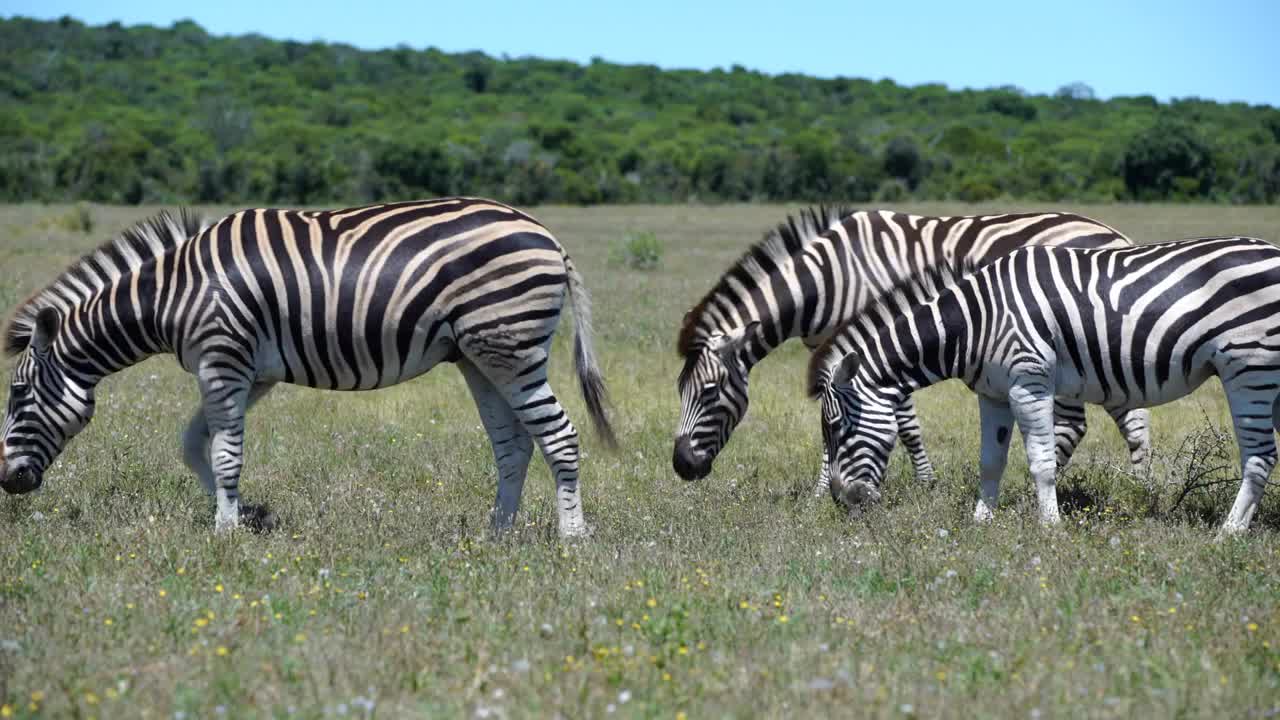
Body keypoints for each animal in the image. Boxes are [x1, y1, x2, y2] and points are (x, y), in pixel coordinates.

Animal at [0, 196, 614, 532]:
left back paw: (572, 536)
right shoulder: (250, 373)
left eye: (18, 394)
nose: (7, 481)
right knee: (514, 445)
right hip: (479, 357)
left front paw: (225, 531)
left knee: (559, 434)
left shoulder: (223, 360)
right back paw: (497, 533)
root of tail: (547, 235)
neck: (172, 295)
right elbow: (195, 444)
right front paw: (246, 514)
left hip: (511, 349)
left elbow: (224, 452)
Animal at [670, 204, 1152, 489]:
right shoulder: (832, 352)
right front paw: (822, 488)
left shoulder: (873, 342)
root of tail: (1114, 232)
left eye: (709, 393)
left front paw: (925, 483)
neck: (829, 278)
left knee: (1104, 419)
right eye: (680, 392)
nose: (681, 466)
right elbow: (830, 416)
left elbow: (904, 423)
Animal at [808, 235, 1280, 532]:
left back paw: (1229, 533)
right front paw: (982, 522)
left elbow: (1041, 461)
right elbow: (990, 460)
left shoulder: (1028, 382)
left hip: (1250, 367)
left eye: (837, 427)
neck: (976, 320)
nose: (841, 503)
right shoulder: (993, 393)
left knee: (1260, 457)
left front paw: (1050, 528)